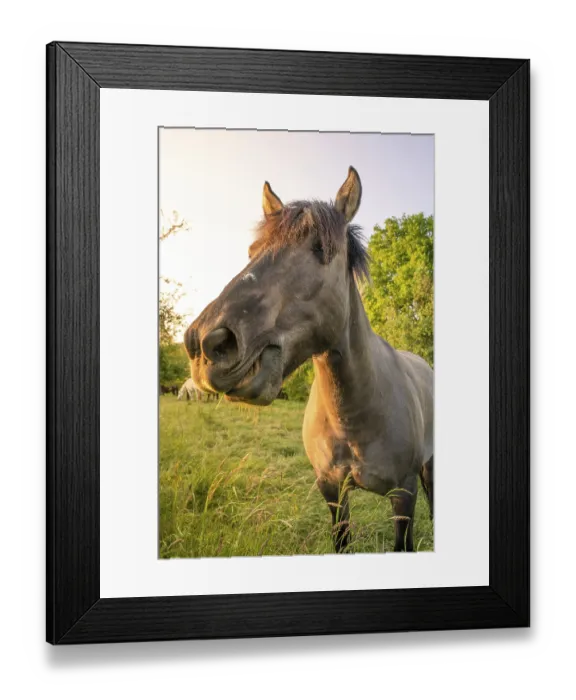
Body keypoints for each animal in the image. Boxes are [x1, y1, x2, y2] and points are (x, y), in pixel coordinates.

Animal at [184, 167, 434, 553]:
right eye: (252, 251)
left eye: (320, 249)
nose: (205, 343)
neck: (356, 416)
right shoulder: (332, 490)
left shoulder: (403, 494)